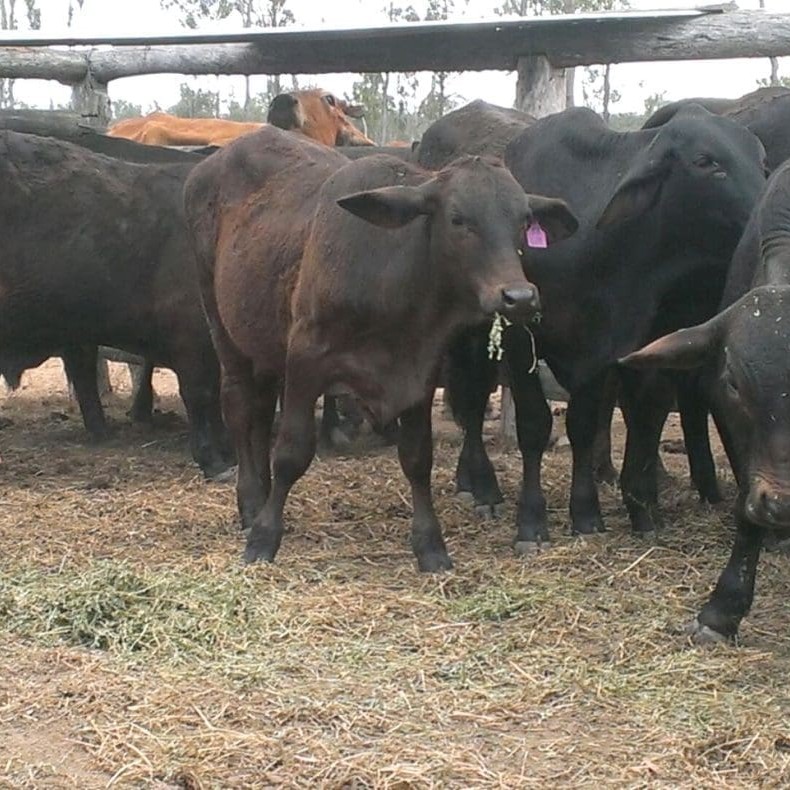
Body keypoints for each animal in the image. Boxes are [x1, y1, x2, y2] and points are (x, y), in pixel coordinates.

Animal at [186, 127, 580, 572]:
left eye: (524, 220)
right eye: (458, 219)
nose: (519, 297)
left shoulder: (420, 374)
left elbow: (417, 457)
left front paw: (430, 544)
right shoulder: (305, 360)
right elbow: (291, 453)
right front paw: (264, 538)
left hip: (264, 343)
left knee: (258, 411)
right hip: (223, 328)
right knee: (239, 408)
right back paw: (251, 501)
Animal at [448, 105, 772, 552]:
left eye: (761, 161)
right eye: (706, 162)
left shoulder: (609, 349)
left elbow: (589, 424)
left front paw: (589, 513)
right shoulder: (519, 337)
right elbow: (534, 424)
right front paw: (531, 522)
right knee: (472, 404)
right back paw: (479, 487)